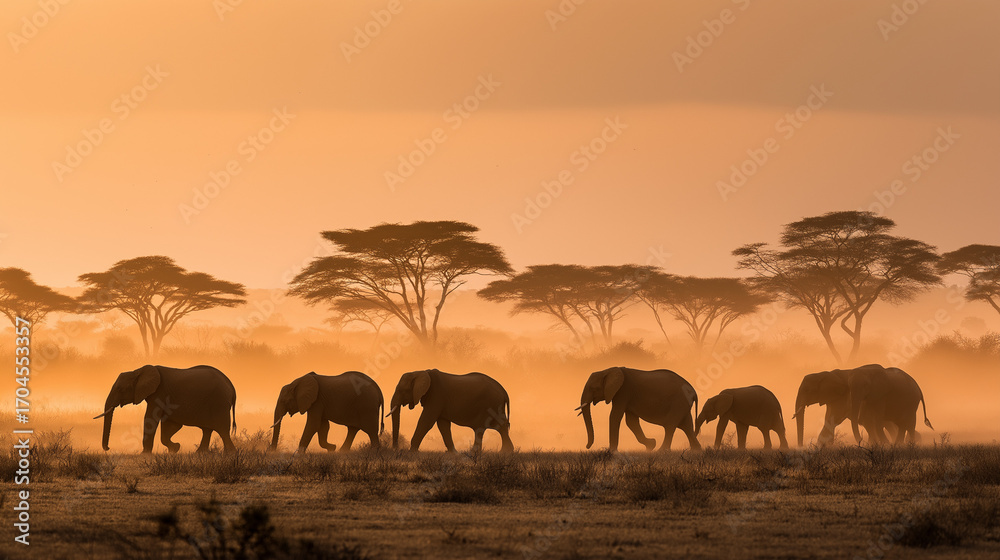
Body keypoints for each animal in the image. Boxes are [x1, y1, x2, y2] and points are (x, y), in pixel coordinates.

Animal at [94, 364, 236, 453]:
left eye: (120, 389)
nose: (108, 448)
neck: (138, 371)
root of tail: (231, 386)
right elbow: (170, 425)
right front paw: (175, 448)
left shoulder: (159, 393)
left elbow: (150, 418)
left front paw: (144, 454)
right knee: (207, 430)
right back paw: (199, 454)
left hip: (219, 403)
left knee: (222, 430)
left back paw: (230, 454)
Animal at [793, 364, 932, 446]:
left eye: (807, 390)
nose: (801, 447)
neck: (824, 373)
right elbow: (830, 420)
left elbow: (835, 419)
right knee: (898, 424)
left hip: (910, 402)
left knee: (906, 423)